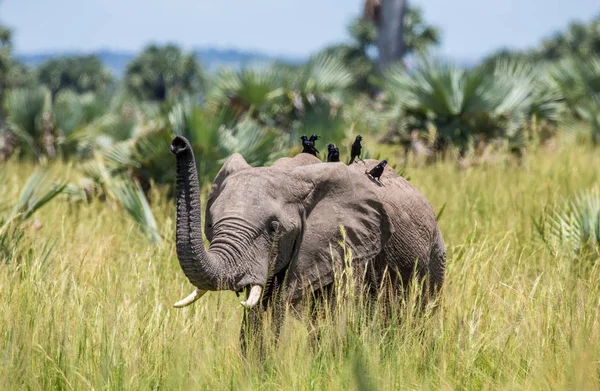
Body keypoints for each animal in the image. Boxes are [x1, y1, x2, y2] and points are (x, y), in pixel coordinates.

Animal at [169, 136, 446, 350]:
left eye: (274, 228)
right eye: (211, 225)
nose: (177, 144)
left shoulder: (350, 248)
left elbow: (336, 319)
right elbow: (258, 320)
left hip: (435, 258)